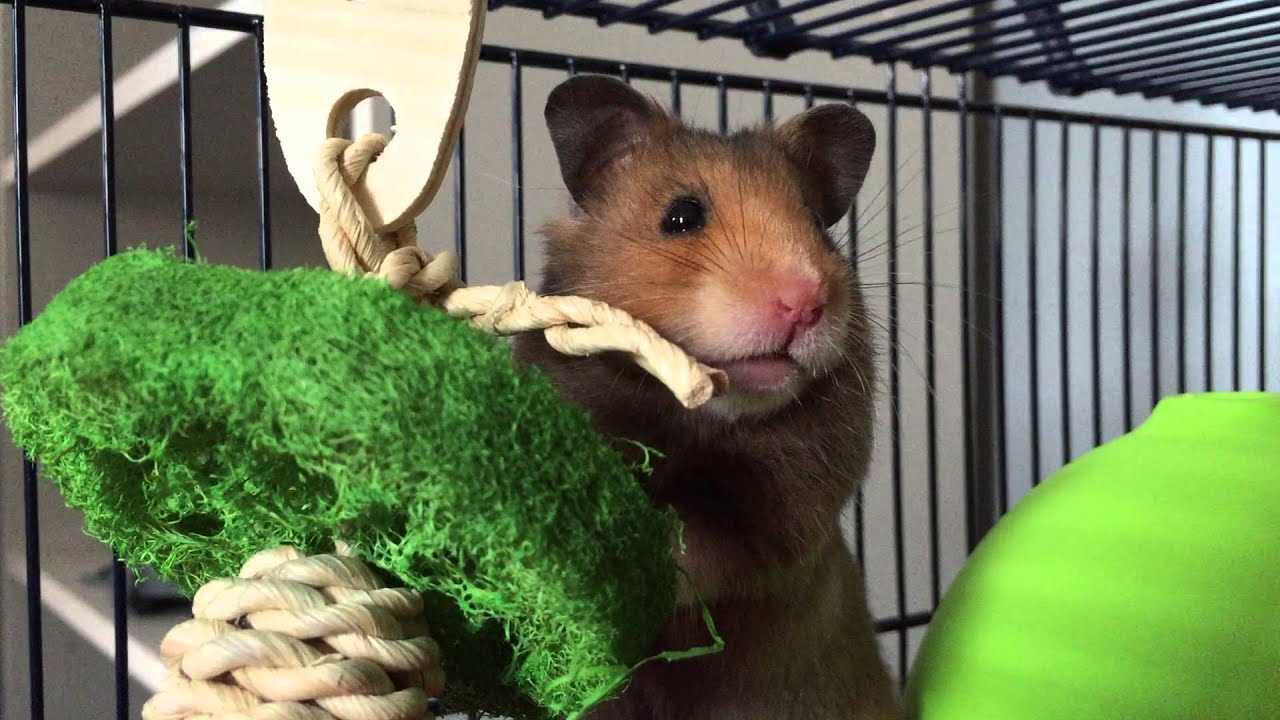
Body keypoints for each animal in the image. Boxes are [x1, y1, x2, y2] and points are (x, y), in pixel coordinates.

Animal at [512, 75, 899, 720]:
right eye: (682, 215)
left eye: (816, 222)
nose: (806, 303)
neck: (700, 417)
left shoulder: (791, 514)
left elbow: (702, 550)